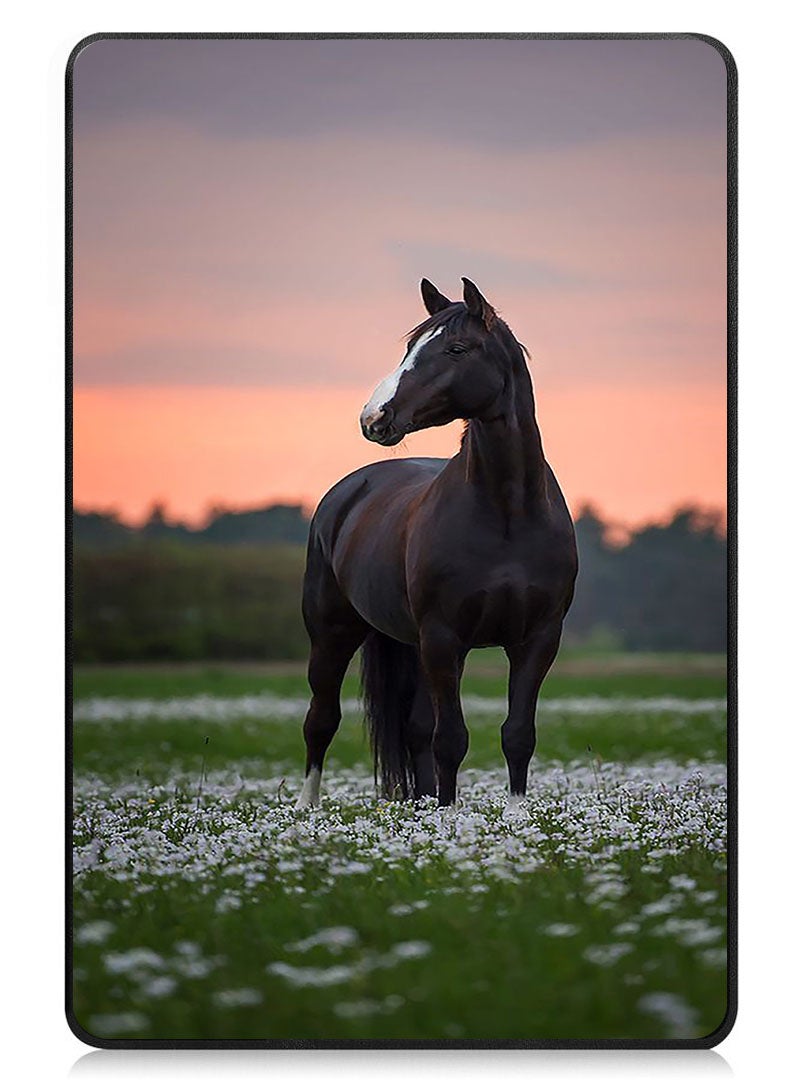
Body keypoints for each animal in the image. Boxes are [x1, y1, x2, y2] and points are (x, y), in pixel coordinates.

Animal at [296, 278, 578, 809]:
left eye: (457, 349)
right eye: (410, 348)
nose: (374, 418)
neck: (507, 514)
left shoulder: (538, 639)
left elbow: (517, 734)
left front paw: (513, 816)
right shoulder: (445, 638)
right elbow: (452, 738)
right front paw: (449, 818)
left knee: (414, 728)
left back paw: (422, 804)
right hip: (333, 634)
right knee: (321, 720)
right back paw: (306, 809)